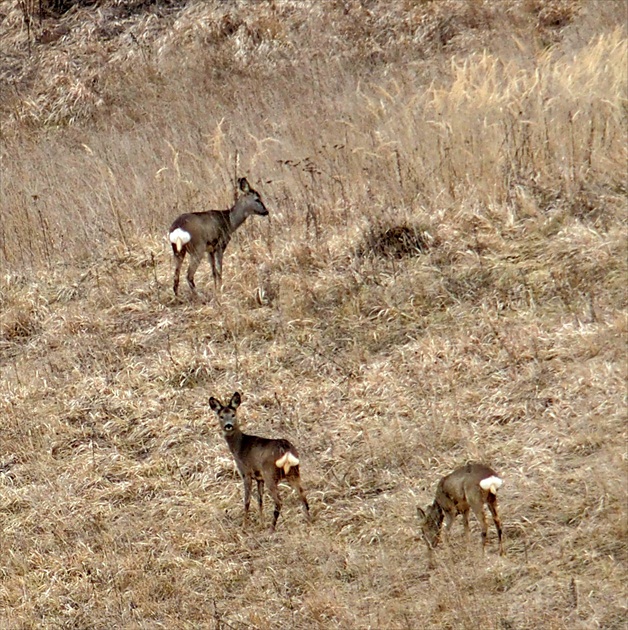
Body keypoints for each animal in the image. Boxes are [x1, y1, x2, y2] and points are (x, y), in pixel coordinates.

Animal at [210, 396, 310, 532]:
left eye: (233, 414)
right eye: (221, 416)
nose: (228, 425)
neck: (239, 446)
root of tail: (286, 450)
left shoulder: (246, 473)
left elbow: (247, 501)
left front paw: (244, 526)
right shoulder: (259, 478)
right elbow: (260, 500)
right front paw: (261, 524)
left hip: (270, 474)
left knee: (279, 501)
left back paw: (272, 529)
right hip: (294, 471)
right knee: (303, 495)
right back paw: (309, 521)